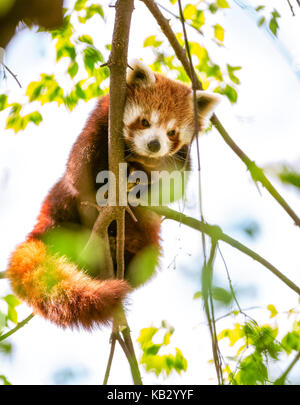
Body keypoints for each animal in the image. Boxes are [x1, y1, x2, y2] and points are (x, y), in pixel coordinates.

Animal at [5, 61, 219, 330]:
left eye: (172, 132)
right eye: (145, 122)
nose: (154, 145)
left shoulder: (182, 159)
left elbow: (172, 189)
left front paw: (139, 177)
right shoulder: (97, 126)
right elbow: (80, 170)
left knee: (144, 259)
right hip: (61, 204)